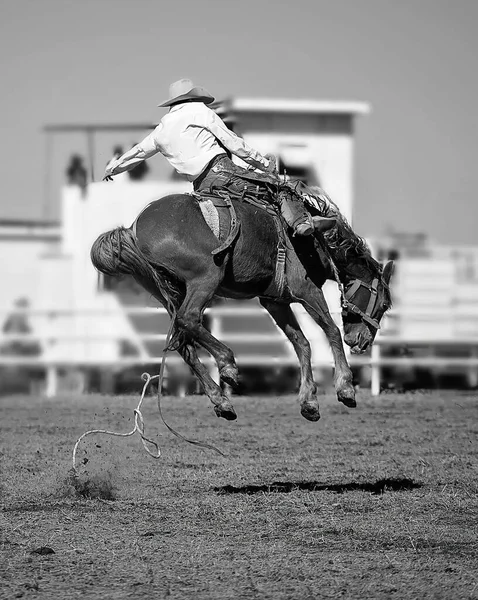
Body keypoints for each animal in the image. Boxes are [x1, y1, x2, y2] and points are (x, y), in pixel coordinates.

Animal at [90, 183, 392, 422]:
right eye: (385, 305)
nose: (363, 341)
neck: (317, 241)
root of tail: (133, 229)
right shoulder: (307, 290)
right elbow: (331, 331)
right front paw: (345, 388)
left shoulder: (275, 301)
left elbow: (301, 343)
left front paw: (309, 402)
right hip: (205, 277)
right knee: (189, 319)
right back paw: (228, 365)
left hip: (168, 291)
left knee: (182, 339)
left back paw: (221, 401)